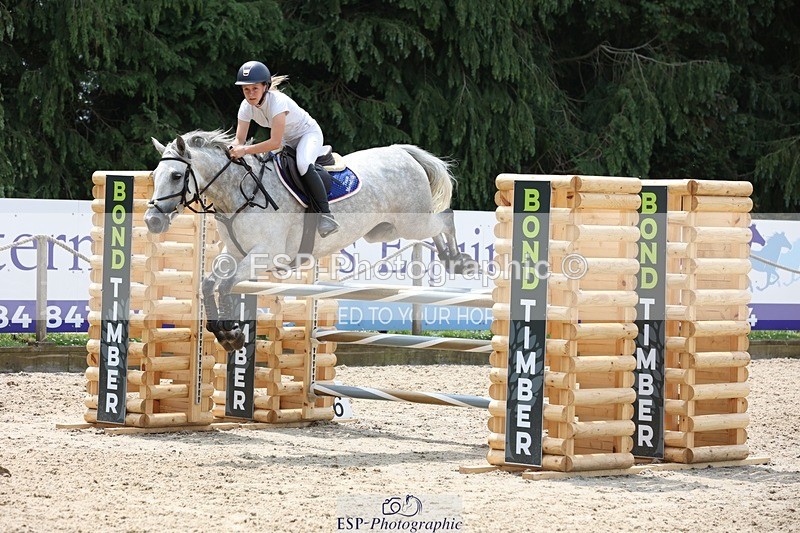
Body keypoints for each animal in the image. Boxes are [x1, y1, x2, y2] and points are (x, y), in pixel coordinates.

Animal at [144, 130, 478, 351]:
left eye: (176, 176)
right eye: (154, 176)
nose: (152, 221)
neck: (241, 193)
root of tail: (402, 152)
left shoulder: (265, 255)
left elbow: (226, 286)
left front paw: (232, 333)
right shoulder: (234, 254)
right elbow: (208, 284)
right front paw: (222, 332)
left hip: (412, 222)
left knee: (444, 217)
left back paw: (460, 262)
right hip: (386, 230)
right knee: (433, 229)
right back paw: (451, 259)